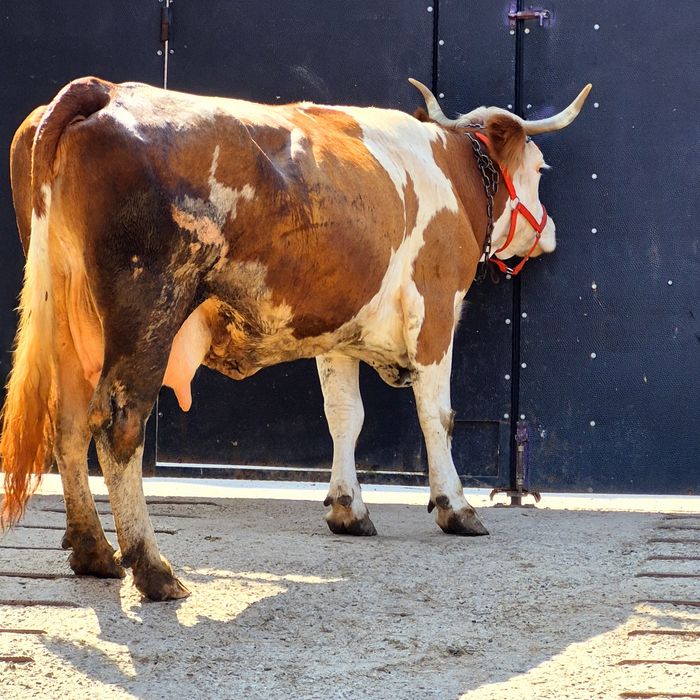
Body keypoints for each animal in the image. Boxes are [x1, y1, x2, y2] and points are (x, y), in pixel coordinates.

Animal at [1, 76, 590, 600]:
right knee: (119, 426)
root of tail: (104, 89)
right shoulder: (436, 310)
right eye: (540, 168)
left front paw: (348, 508)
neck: (451, 173)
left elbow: (345, 416)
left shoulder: (337, 334)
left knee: (69, 424)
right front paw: (457, 508)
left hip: (68, 317)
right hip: (148, 309)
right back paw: (152, 569)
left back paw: (93, 551)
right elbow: (437, 417)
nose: (551, 231)